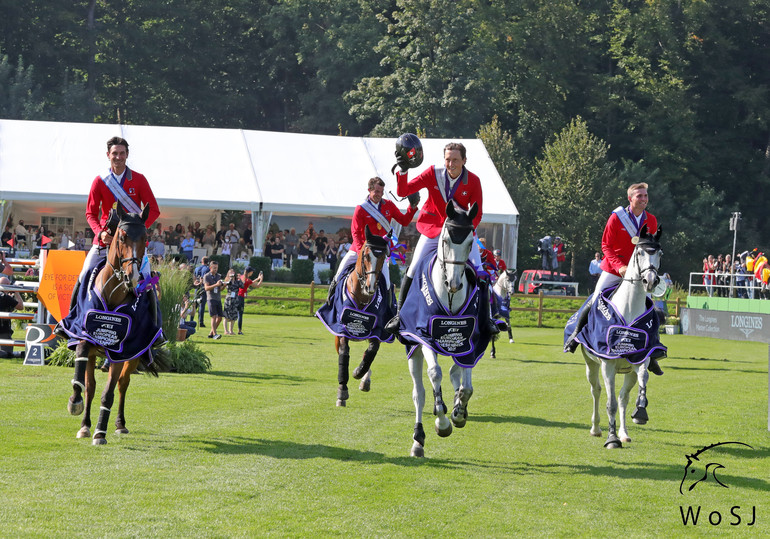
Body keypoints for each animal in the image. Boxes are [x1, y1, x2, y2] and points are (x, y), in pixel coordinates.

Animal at [63, 205, 164, 446]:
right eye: (122, 236)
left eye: (145, 238)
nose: (132, 276)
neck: (112, 293)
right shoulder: (85, 336)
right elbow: (83, 381)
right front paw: (75, 403)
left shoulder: (122, 350)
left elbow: (108, 392)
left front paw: (100, 433)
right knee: (92, 386)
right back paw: (85, 424)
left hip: (135, 355)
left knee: (122, 384)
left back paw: (119, 424)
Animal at [330, 226, 390, 408]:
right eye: (365, 255)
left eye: (383, 256)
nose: (370, 286)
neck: (362, 296)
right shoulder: (342, 329)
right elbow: (344, 354)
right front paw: (342, 391)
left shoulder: (378, 330)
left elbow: (371, 352)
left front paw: (359, 372)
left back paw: (364, 378)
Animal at [580, 226, 664, 450]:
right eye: (640, 252)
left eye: (659, 254)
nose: (650, 281)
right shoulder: (607, 364)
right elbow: (610, 403)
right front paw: (612, 439)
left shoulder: (640, 358)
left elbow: (642, 380)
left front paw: (640, 411)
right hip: (591, 364)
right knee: (596, 391)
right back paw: (596, 429)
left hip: (627, 372)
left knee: (623, 397)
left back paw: (624, 434)